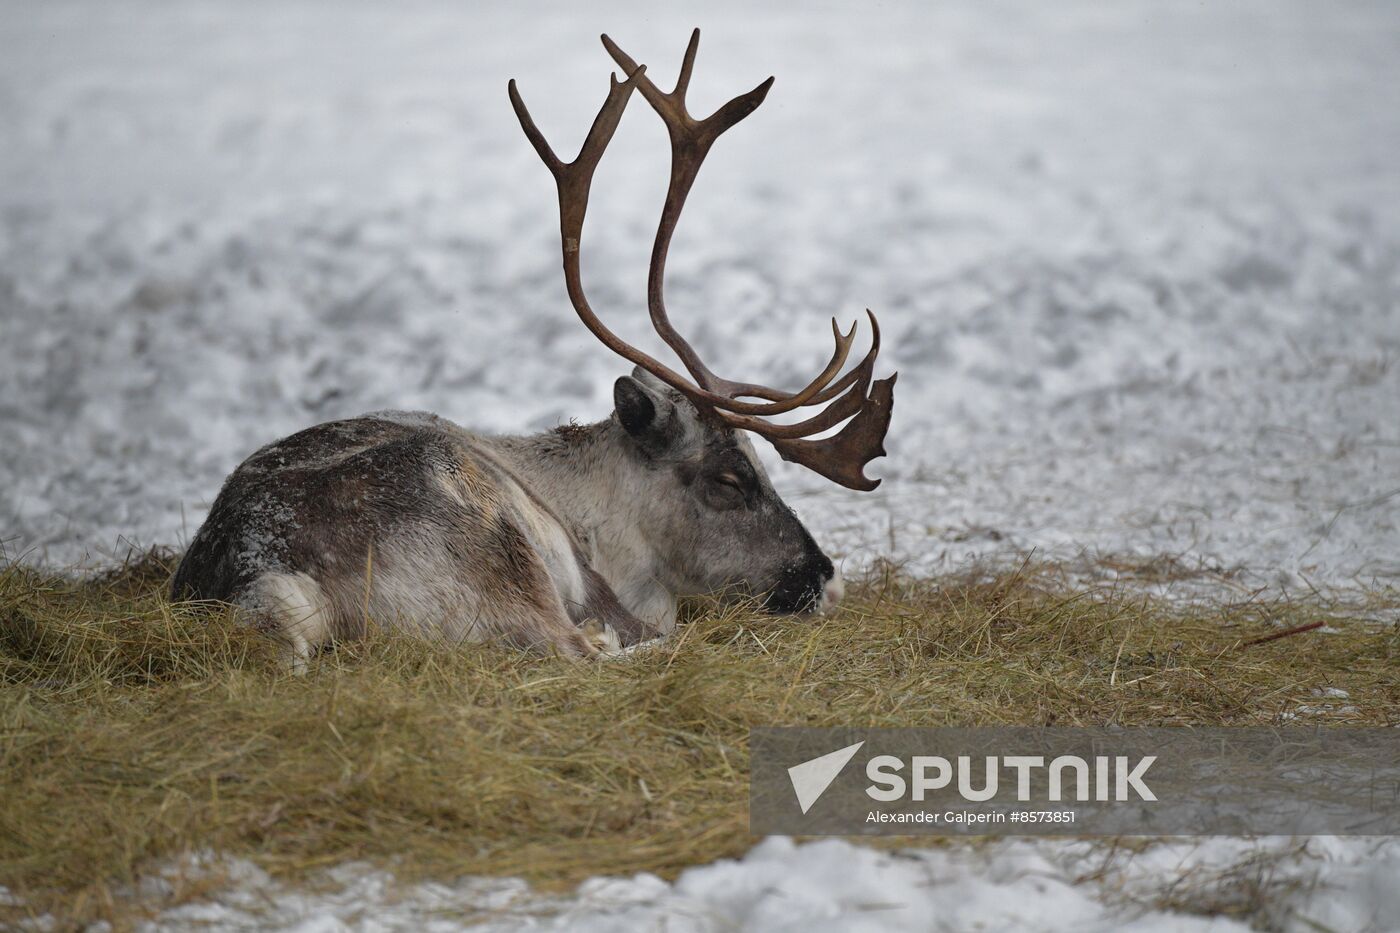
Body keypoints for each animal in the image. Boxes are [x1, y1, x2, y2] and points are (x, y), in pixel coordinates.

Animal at [170, 30, 896, 663]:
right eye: (730, 478)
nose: (825, 578)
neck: (588, 510)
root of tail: (265, 576)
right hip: (499, 565)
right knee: (578, 652)